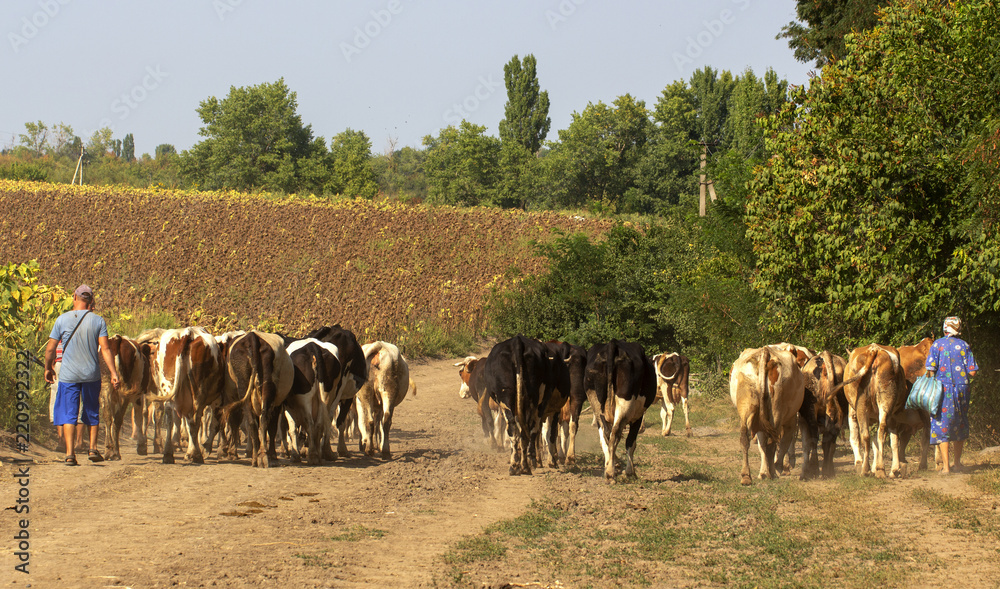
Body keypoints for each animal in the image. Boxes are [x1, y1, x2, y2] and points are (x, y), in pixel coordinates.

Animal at [219, 328, 292, 466]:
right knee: (263, 419)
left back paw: (256, 456)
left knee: (252, 421)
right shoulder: (277, 404)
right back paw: (263, 455)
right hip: (267, 386)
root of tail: (252, 338)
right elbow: (272, 427)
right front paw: (273, 454)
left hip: (244, 387)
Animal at [484, 334, 564, 476]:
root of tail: (518, 342)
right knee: (528, 430)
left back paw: (518, 465)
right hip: (533, 402)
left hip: (509, 399)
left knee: (517, 430)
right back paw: (524, 464)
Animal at [584, 338, 660, 480]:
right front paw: (630, 472)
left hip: (596, 404)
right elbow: (631, 442)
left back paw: (610, 467)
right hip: (625, 403)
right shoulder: (637, 416)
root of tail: (612, 344)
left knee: (606, 434)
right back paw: (610, 472)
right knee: (615, 433)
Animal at [732, 342, 808, 484]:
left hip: (747, 406)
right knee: (772, 442)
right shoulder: (791, 419)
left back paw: (746, 476)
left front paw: (763, 472)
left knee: (745, 439)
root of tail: (765, 353)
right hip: (776, 412)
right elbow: (784, 442)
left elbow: (762, 445)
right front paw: (780, 467)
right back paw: (772, 472)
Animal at [844, 342, 908, 476]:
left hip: (861, 404)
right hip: (886, 401)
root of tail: (874, 350)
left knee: (865, 436)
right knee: (882, 433)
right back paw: (882, 469)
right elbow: (887, 441)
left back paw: (865, 469)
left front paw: (859, 463)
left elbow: (854, 438)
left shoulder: (852, 412)